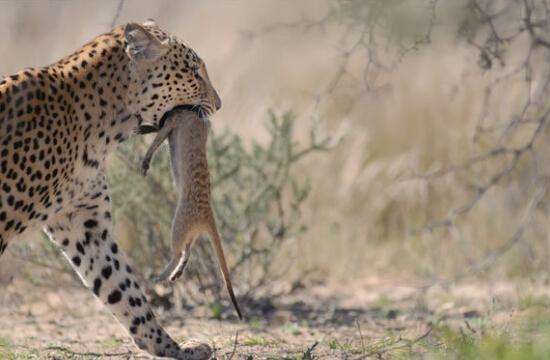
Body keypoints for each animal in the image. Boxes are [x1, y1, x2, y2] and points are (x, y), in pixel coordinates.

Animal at [1, 20, 224, 360]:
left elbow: (123, 287)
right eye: (195, 72)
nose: (218, 103)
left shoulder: (84, 224)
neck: (101, 128)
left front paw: (170, 346)